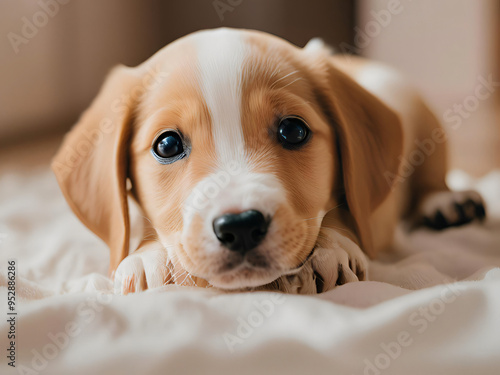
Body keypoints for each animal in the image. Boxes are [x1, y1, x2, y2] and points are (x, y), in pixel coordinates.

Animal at [51, 27, 484, 296]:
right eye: (167, 144)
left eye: (293, 131)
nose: (240, 226)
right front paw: (146, 254)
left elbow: (345, 211)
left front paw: (330, 247)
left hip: (420, 115)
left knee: (433, 176)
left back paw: (447, 202)